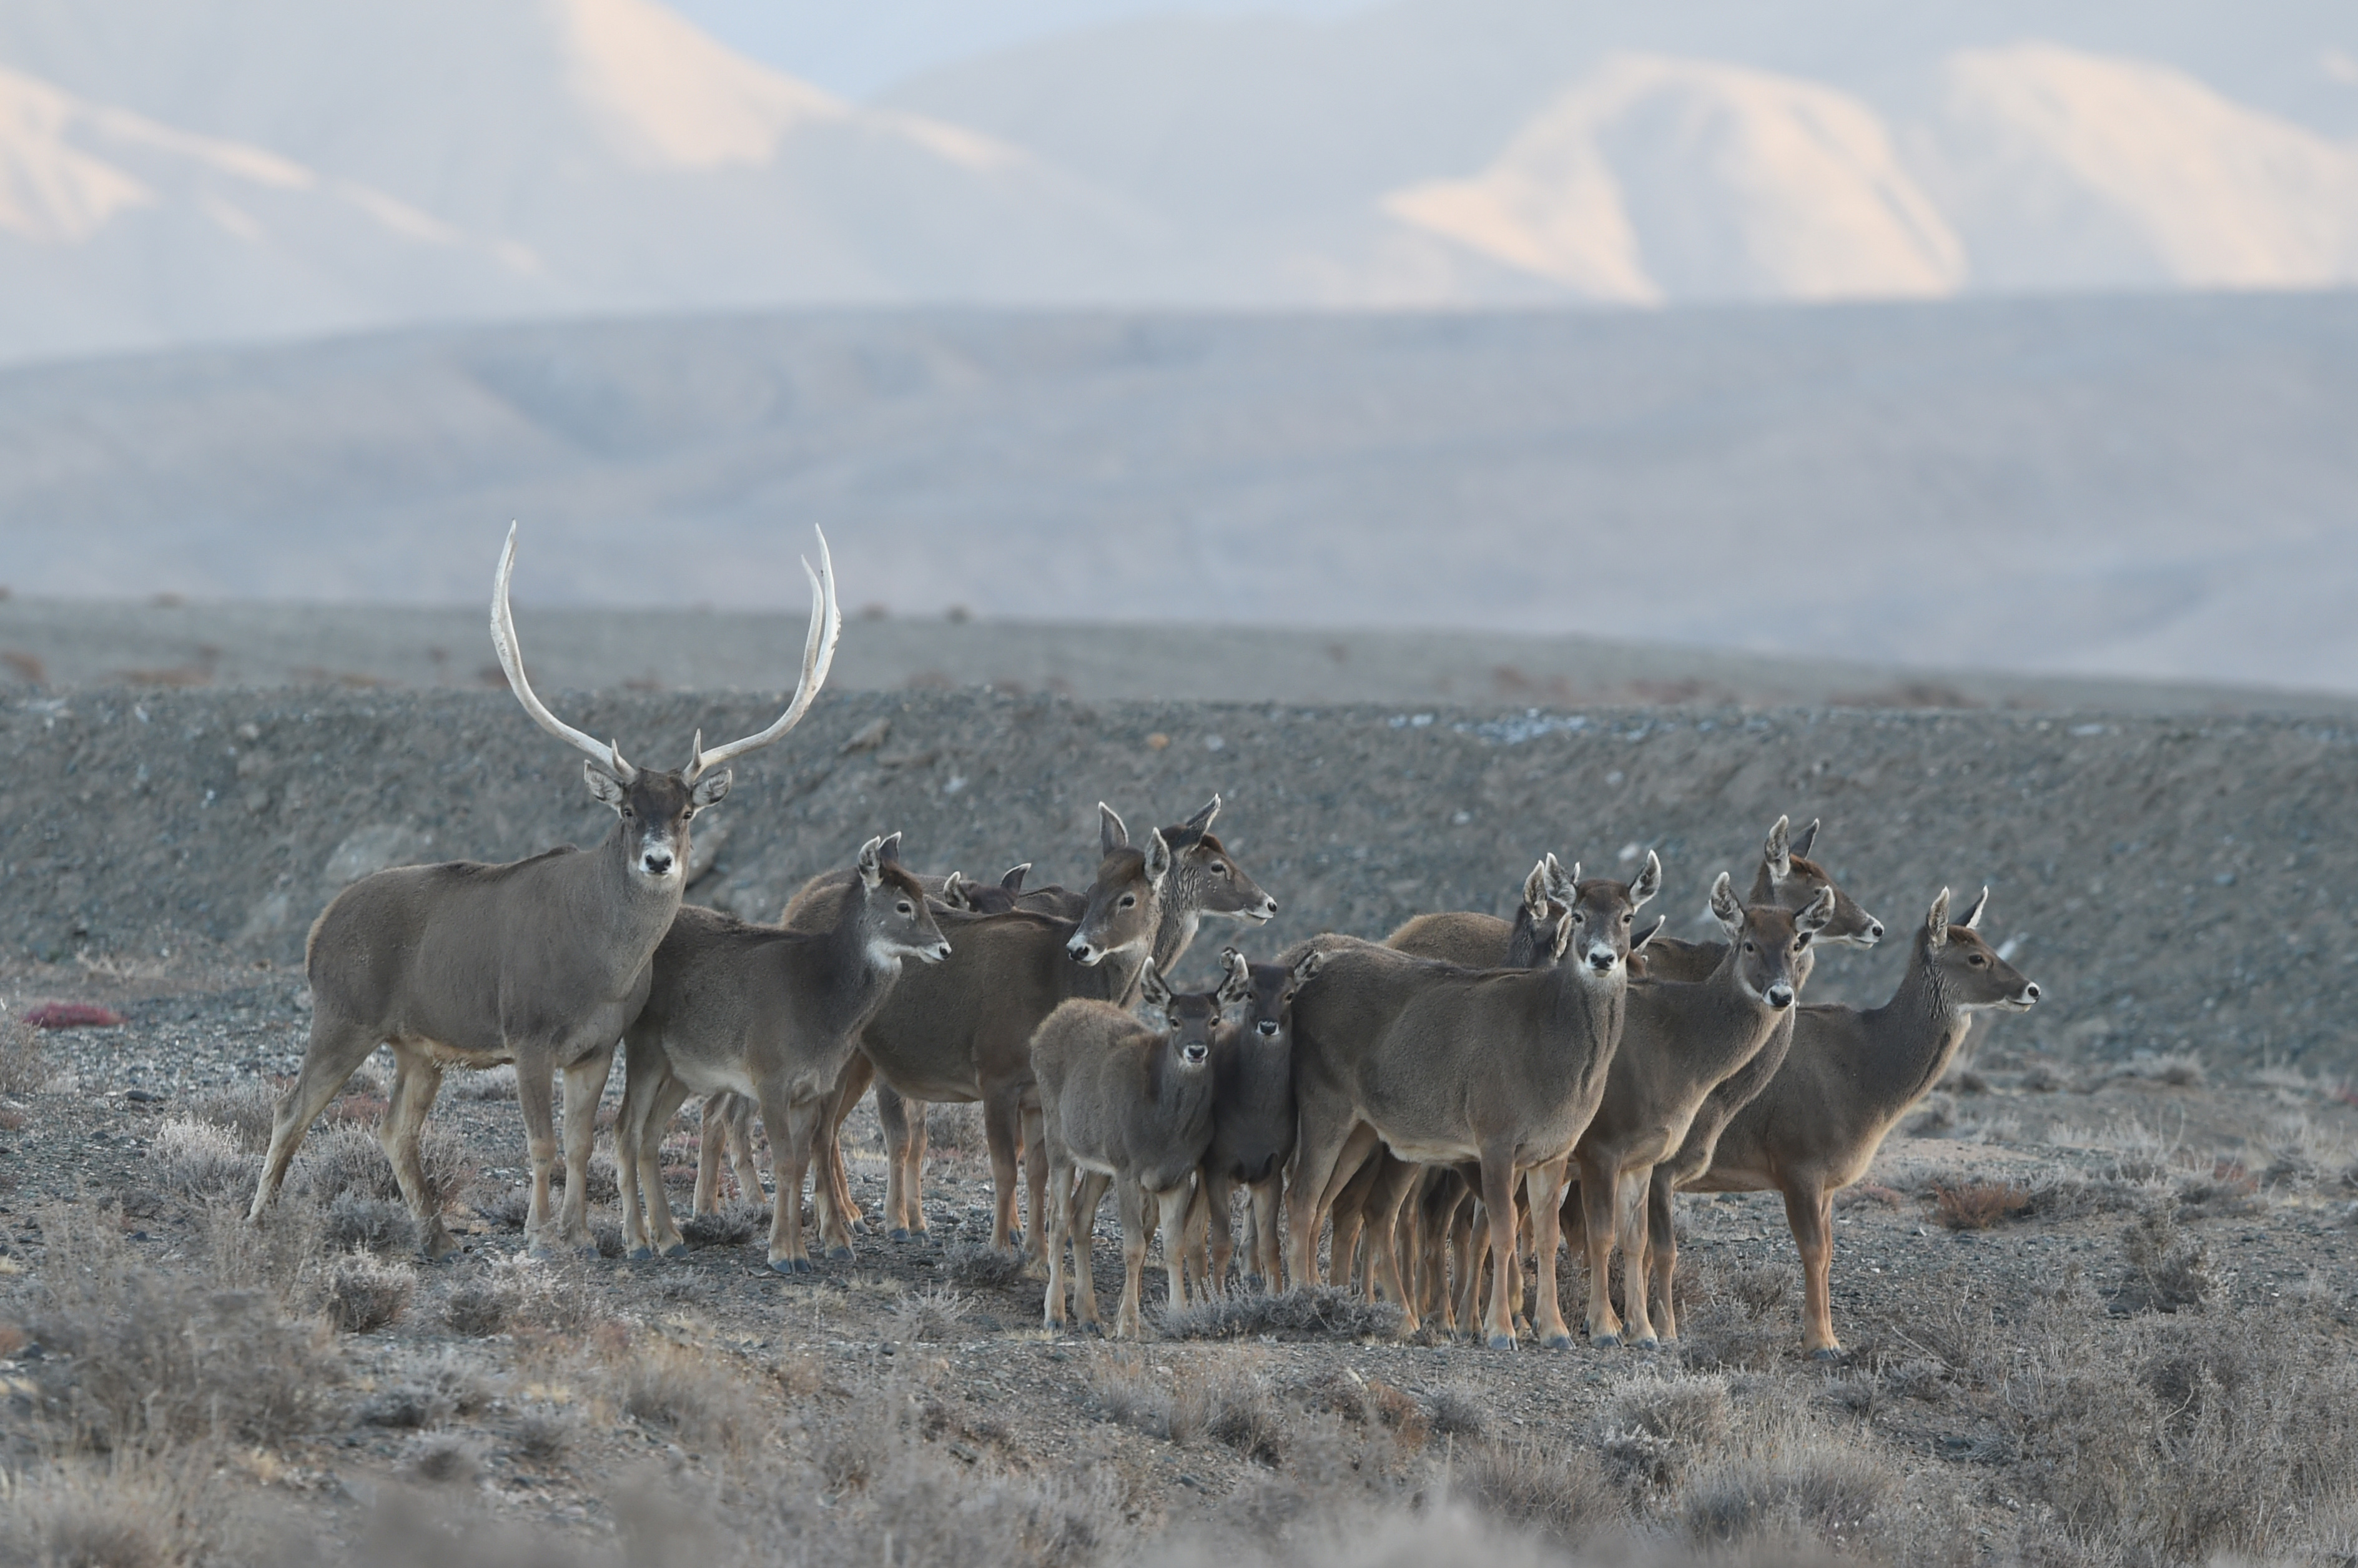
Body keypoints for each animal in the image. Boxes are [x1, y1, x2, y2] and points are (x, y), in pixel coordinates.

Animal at [246, 526, 839, 1263]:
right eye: (625, 809)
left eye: (687, 812)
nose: (658, 860)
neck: (601, 968)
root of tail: (316, 929)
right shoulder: (525, 1033)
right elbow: (541, 1141)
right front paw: (538, 1233)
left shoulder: (597, 1046)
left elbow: (583, 1140)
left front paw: (581, 1233)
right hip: (343, 1013)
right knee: (291, 1107)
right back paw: (259, 1219)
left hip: (416, 1046)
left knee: (393, 1127)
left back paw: (437, 1234)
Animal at [613, 830, 952, 1273]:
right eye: (904, 905)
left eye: (925, 899)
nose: (944, 949)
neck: (818, 1003)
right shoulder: (770, 1077)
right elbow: (785, 1162)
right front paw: (782, 1253)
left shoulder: (811, 1088)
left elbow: (803, 1161)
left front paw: (804, 1252)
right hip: (645, 1048)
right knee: (626, 1129)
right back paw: (636, 1241)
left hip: (681, 1070)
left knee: (651, 1133)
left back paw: (670, 1239)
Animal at [1037, 962, 1254, 1339]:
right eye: (1174, 1020)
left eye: (1214, 1019)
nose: (1196, 1050)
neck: (1164, 1133)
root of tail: (1044, 1028)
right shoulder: (1128, 1167)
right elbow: (1134, 1247)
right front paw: (1127, 1325)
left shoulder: (1178, 1175)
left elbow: (1174, 1245)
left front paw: (1179, 1315)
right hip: (1057, 1137)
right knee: (1059, 1218)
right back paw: (1055, 1315)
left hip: (1098, 1160)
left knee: (1081, 1216)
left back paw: (1089, 1315)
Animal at [1660, 886, 2028, 1348]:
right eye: (1976, 957)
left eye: (1990, 945)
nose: (2032, 989)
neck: (1866, 1079)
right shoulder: (1797, 1160)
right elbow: (1814, 1251)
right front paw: (1821, 1343)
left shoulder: (1829, 1180)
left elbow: (1830, 1252)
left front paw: (1826, 1336)